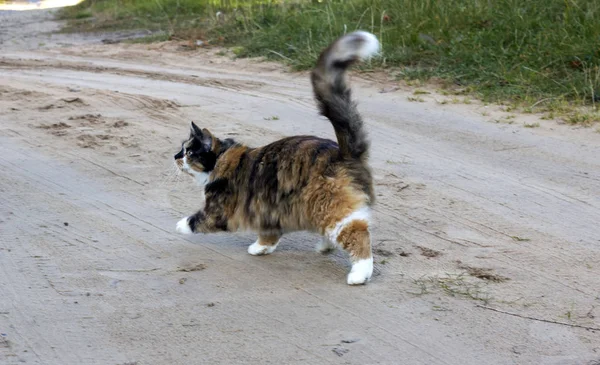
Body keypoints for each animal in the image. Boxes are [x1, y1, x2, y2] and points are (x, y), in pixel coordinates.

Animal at [175, 30, 380, 284]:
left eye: (189, 152)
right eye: (182, 150)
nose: (175, 157)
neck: (221, 157)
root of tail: (343, 152)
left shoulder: (220, 211)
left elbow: (195, 220)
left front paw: (179, 226)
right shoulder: (269, 208)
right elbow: (270, 234)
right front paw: (261, 248)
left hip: (328, 206)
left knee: (358, 234)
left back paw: (359, 274)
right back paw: (326, 247)